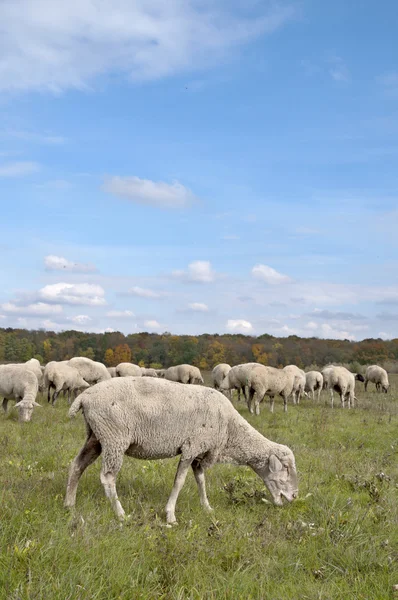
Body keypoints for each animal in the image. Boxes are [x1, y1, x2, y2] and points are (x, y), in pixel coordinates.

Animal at [65, 378, 296, 524]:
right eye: (285, 468)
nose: (294, 496)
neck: (230, 430)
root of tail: (84, 397)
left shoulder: (200, 453)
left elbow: (201, 481)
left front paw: (207, 508)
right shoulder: (191, 447)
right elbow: (179, 482)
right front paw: (170, 515)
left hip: (96, 437)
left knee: (76, 466)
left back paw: (70, 505)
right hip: (114, 438)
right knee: (107, 477)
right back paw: (121, 514)